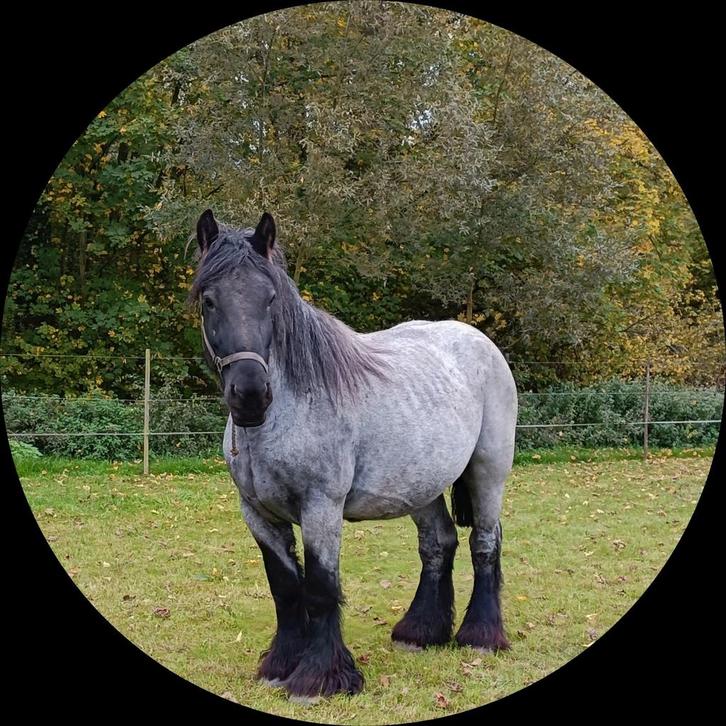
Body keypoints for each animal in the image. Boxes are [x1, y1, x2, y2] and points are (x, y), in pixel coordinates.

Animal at [190, 209, 518, 701]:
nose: (250, 394)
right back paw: (419, 632)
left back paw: (479, 637)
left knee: (485, 542)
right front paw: (279, 666)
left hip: (488, 470)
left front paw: (318, 678)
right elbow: (285, 589)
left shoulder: (321, 507)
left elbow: (321, 588)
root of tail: (478, 340)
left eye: (270, 299)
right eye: (209, 300)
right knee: (438, 544)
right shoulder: (258, 514)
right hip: (420, 487)